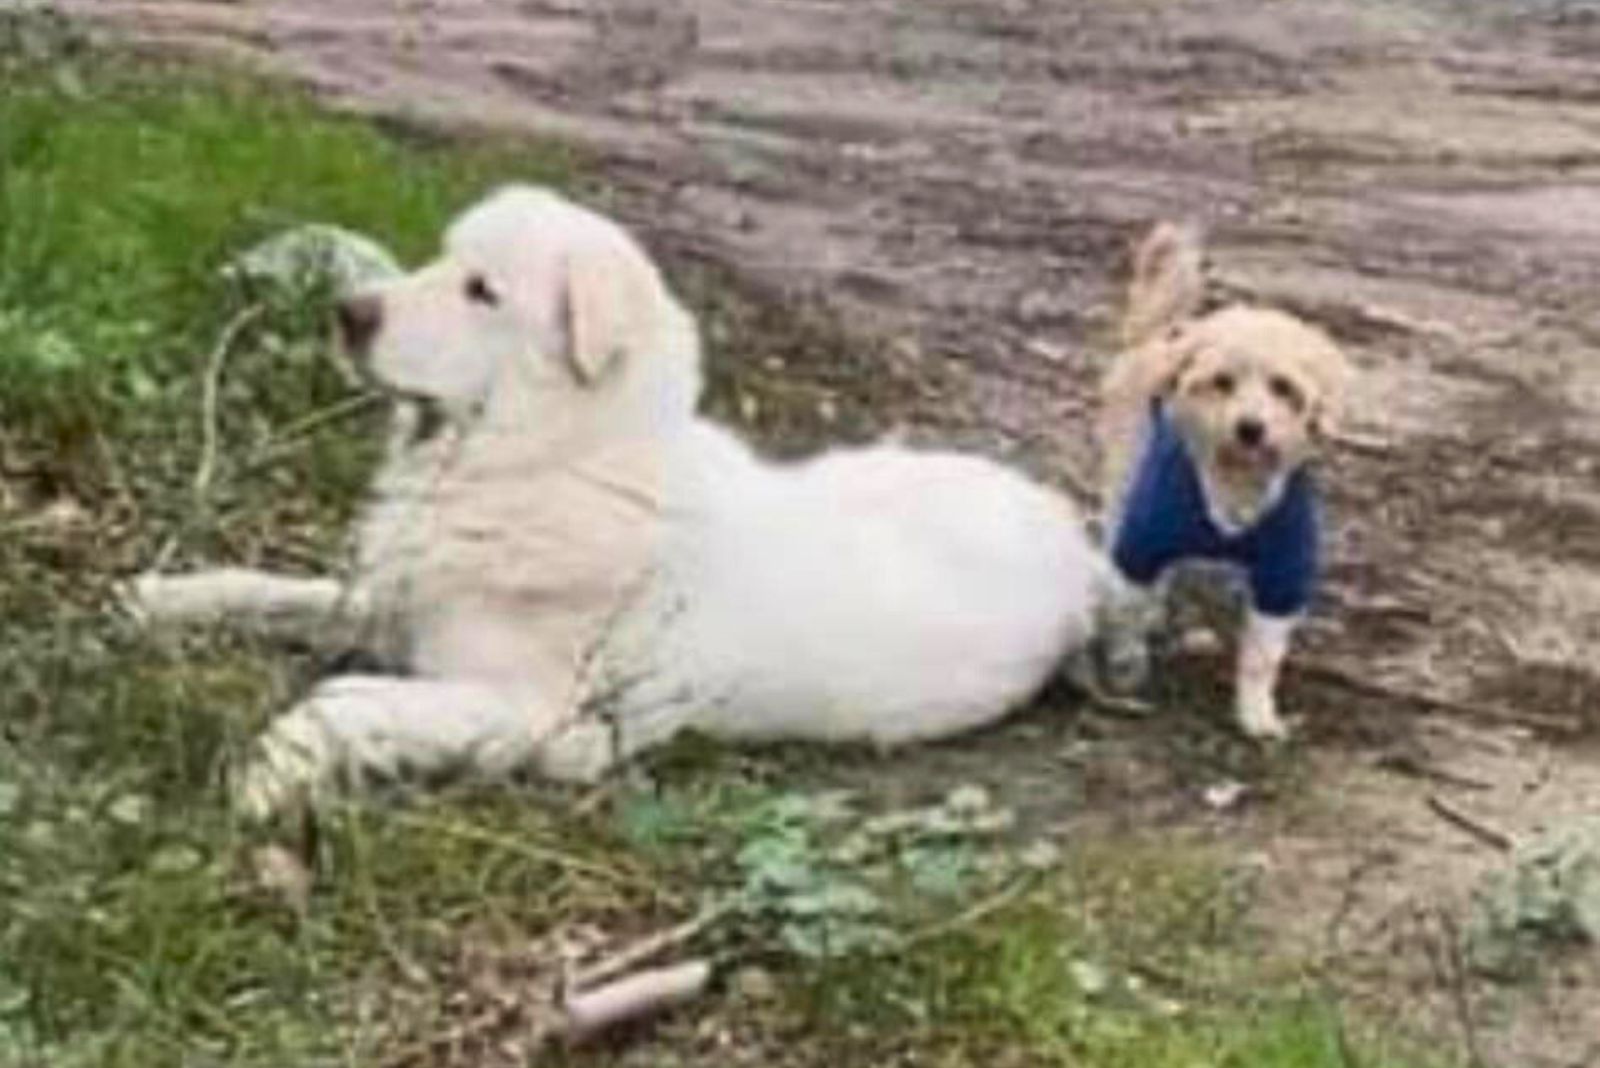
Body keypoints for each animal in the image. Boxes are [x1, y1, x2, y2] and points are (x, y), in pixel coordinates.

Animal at [131, 187, 1107, 818]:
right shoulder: (395, 604)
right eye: (442, 258)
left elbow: (347, 698)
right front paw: (161, 595)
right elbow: (277, 589)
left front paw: (272, 769)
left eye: (482, 289)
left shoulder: (545, 722)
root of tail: (1074, 538)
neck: (550, 459)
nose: (346, 311)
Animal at [1100, 223, 1350, 741]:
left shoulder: (1283, 574)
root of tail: (1163, 335)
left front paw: (1257, 715)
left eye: (1283, 388)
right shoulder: (1143, 542)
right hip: (1124, 481)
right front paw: (1126, 669)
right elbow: (1128, 610)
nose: (1250, 428)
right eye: (1222, 382)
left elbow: (1261, 656)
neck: (1236, 477)